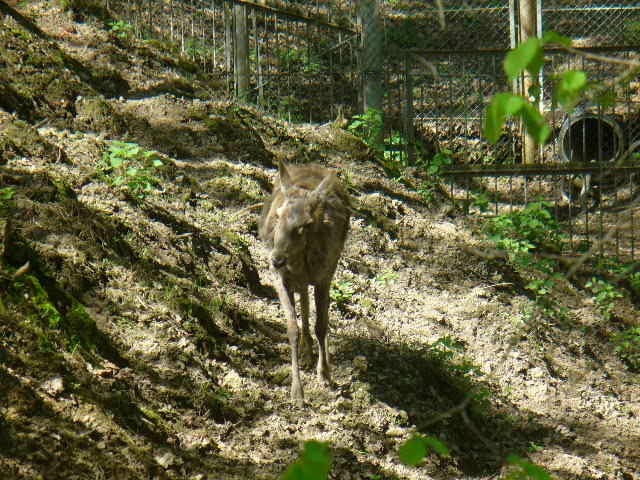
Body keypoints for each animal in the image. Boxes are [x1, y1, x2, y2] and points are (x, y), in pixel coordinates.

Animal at [258, 160, 350, 404]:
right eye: (278, 215)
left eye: (306, 224)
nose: (277, 258)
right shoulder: (280, 279)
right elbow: (292, 327)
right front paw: (297, 392)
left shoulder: (324, 276)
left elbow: (322, 325)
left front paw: (325, 373)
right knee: (304, 300)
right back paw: (306, 351)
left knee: (312, 304)